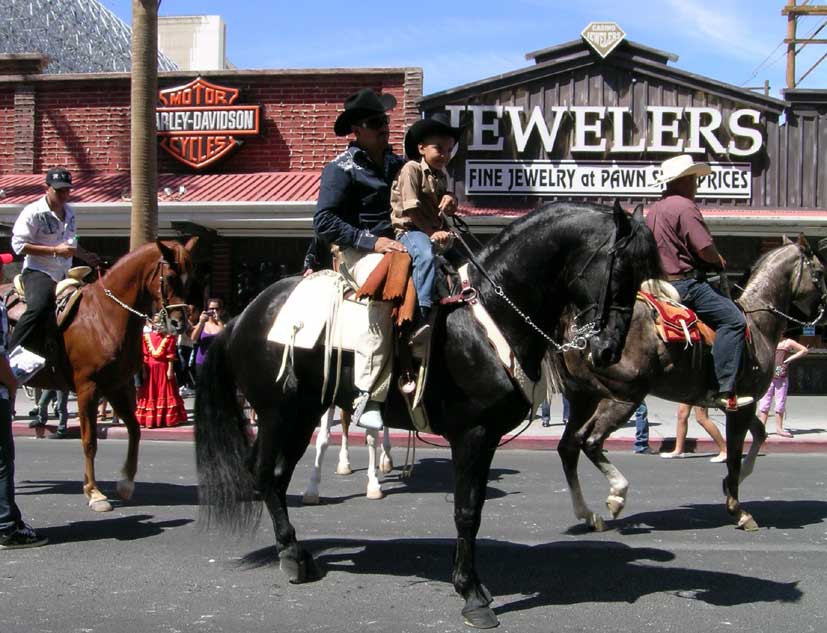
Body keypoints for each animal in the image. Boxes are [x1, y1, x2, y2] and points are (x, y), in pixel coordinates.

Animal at [5, 238, 195, 511]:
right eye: (169, 277)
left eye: (190, 278)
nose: (180, 324)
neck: (105, 316)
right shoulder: (88, 387)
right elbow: (89, 441)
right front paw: (95, 493)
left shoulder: (118, 385)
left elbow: (134, 430)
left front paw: (125, 483)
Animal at [194, 201, 662, 629]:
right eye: (620, 271)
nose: (608, 352)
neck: (487, 316)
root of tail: (242, 316)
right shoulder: (472, 434)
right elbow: (467, 511)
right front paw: (471, 594)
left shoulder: (487, 437)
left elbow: (474, 508)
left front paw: (471, 582)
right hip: (279, 413)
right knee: (264, 474)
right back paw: (292, 555)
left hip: (302, 413)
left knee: (274, 476)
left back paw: (298, 555)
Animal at [550, 234, 826, 533]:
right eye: (820, 272)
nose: (821, 310)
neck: (757, 324)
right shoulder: (740, 405)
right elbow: (734, 456)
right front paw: (738, 510)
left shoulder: (743, 404)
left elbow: (760, 435)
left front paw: (732, 485)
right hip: (623, 396)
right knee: (588, 440)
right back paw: (617, 494)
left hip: (583, 397)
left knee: (568, 447)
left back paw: (588, 514)